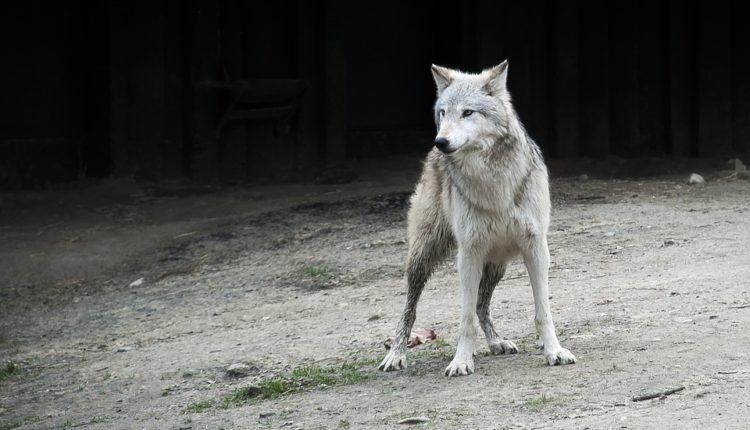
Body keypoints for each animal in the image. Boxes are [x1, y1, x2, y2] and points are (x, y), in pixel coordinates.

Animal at [378, 59, 580, 376]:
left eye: (468, 112)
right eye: (444, 113)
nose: (441, 141)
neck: (494, 184)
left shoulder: (536, 248)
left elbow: (542, 311)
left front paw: (554, 351)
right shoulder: (469, 252)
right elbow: (465, 318)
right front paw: (462, 360)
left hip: (497, 264)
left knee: (482, 305)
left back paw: (497, 342)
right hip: (423, 257)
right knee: (410, 309)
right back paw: (396, 355)